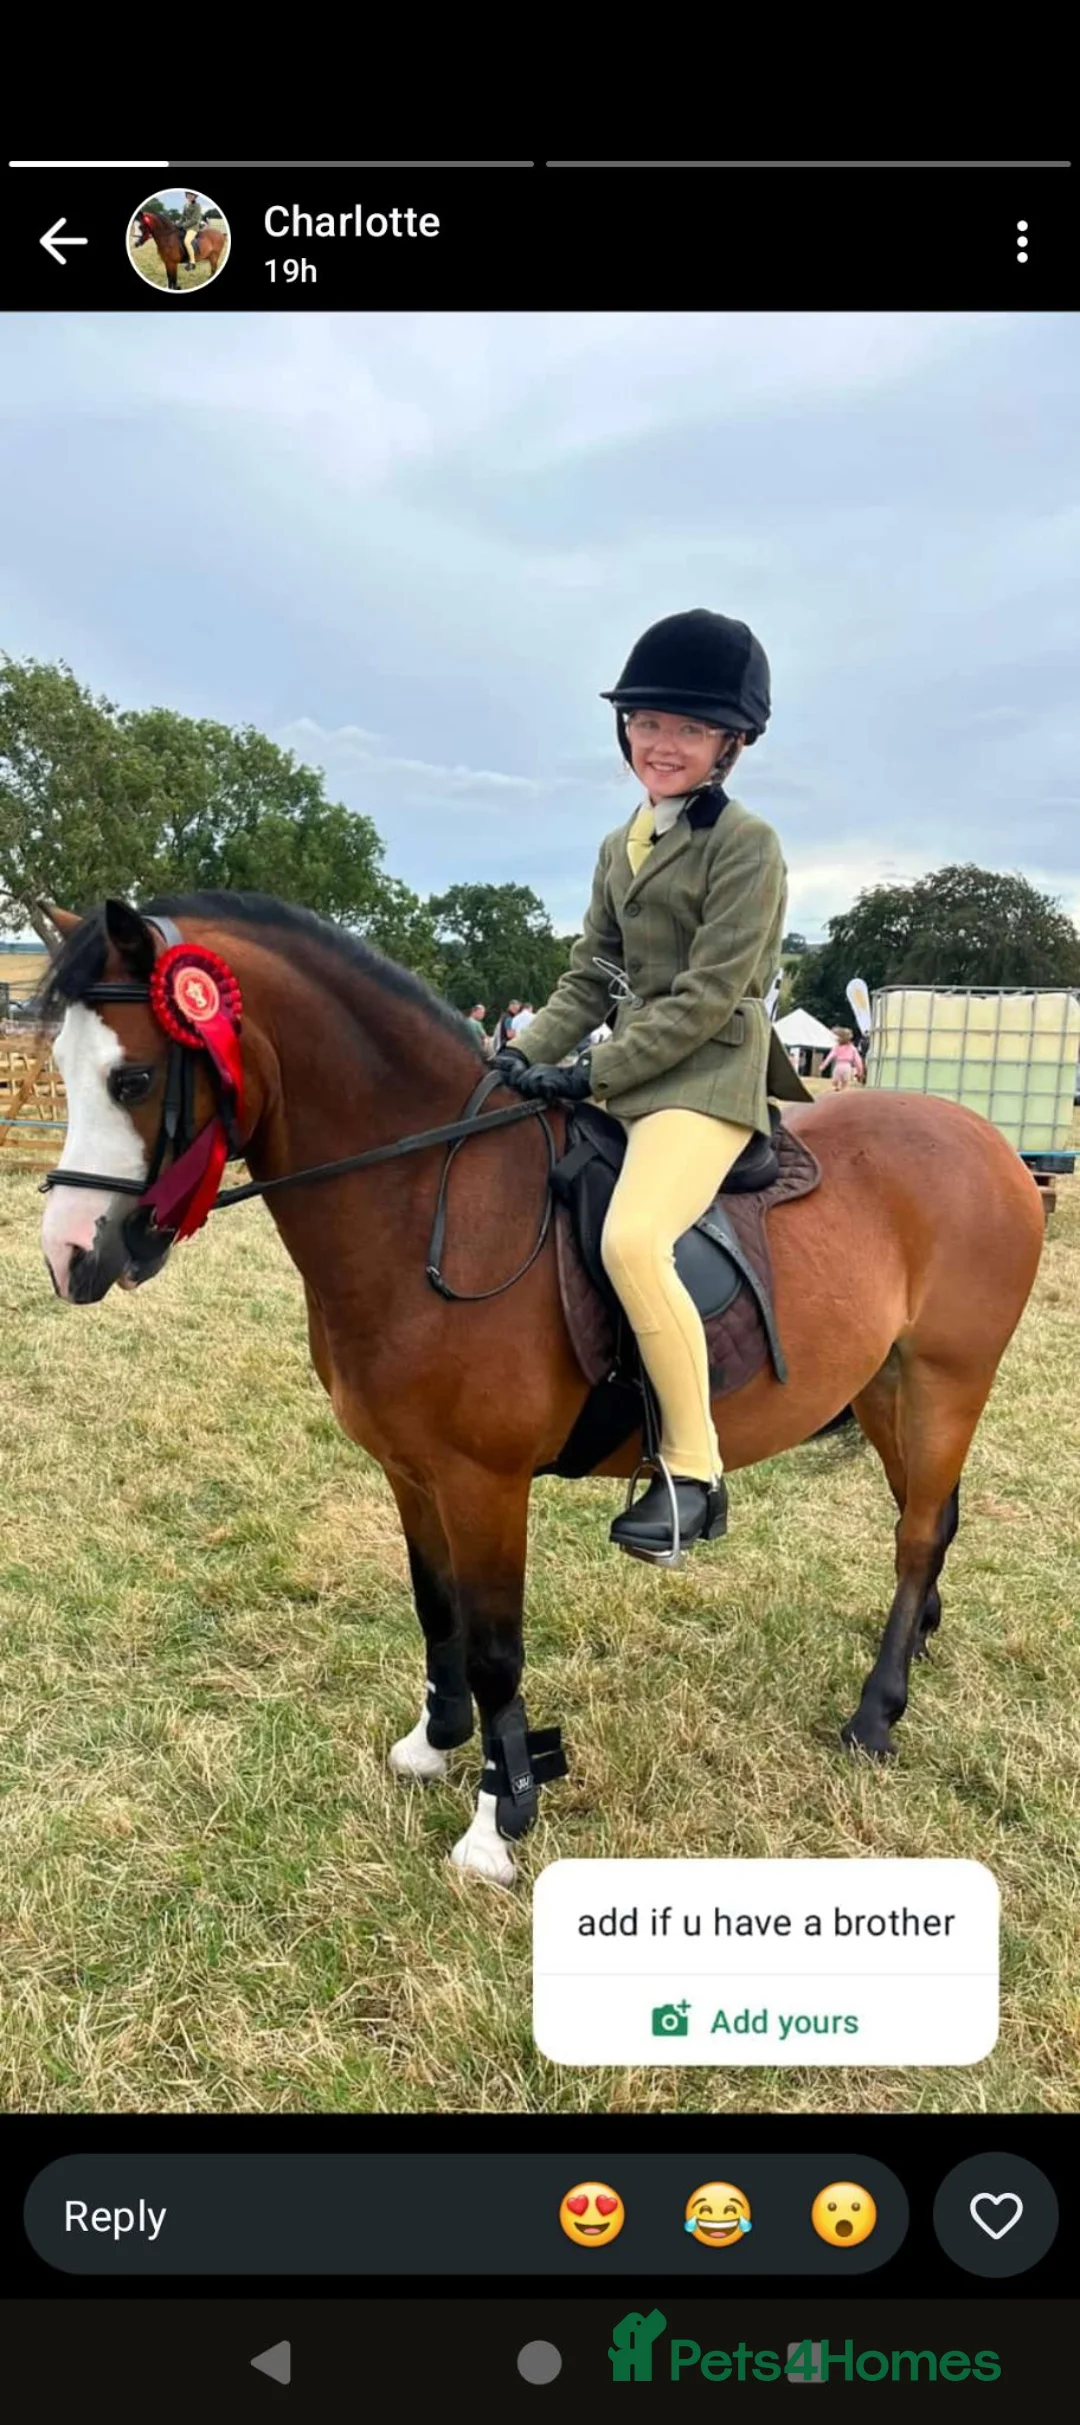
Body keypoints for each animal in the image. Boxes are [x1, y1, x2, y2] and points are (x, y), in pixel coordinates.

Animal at [38, 895, 1045, 1889]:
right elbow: (435, 1606)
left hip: (950, 1381)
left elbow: (495, 1648)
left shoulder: (484, 1483)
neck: (429, 1201)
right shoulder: (409, 1472)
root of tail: (986, 1138)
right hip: (887, 1387)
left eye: (132, 1079)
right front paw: (435, 1740)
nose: (69, 1255)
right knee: (929, 1515)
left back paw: (875, 1713)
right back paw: (917, 1646)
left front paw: (500, 1816)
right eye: (59, 1068)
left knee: (917, 1535)